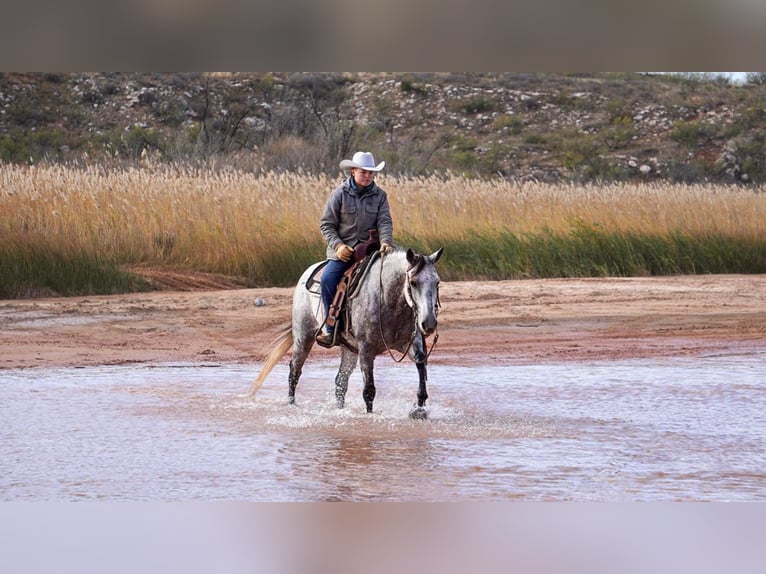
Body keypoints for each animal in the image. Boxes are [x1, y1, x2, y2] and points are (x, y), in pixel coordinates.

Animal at [249, 248, 444, 418]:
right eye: (413, 283)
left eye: (437, 282)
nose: (429, 323)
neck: (388, 299)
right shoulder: (366, 349)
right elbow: (369, 391)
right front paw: (370, 417)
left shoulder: (410, 343)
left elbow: (421, 367)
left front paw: (419, 409)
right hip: (303, 337)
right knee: (294, 372)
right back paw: (291, 405)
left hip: (349, 349)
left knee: (340, 382)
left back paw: (339, 409)